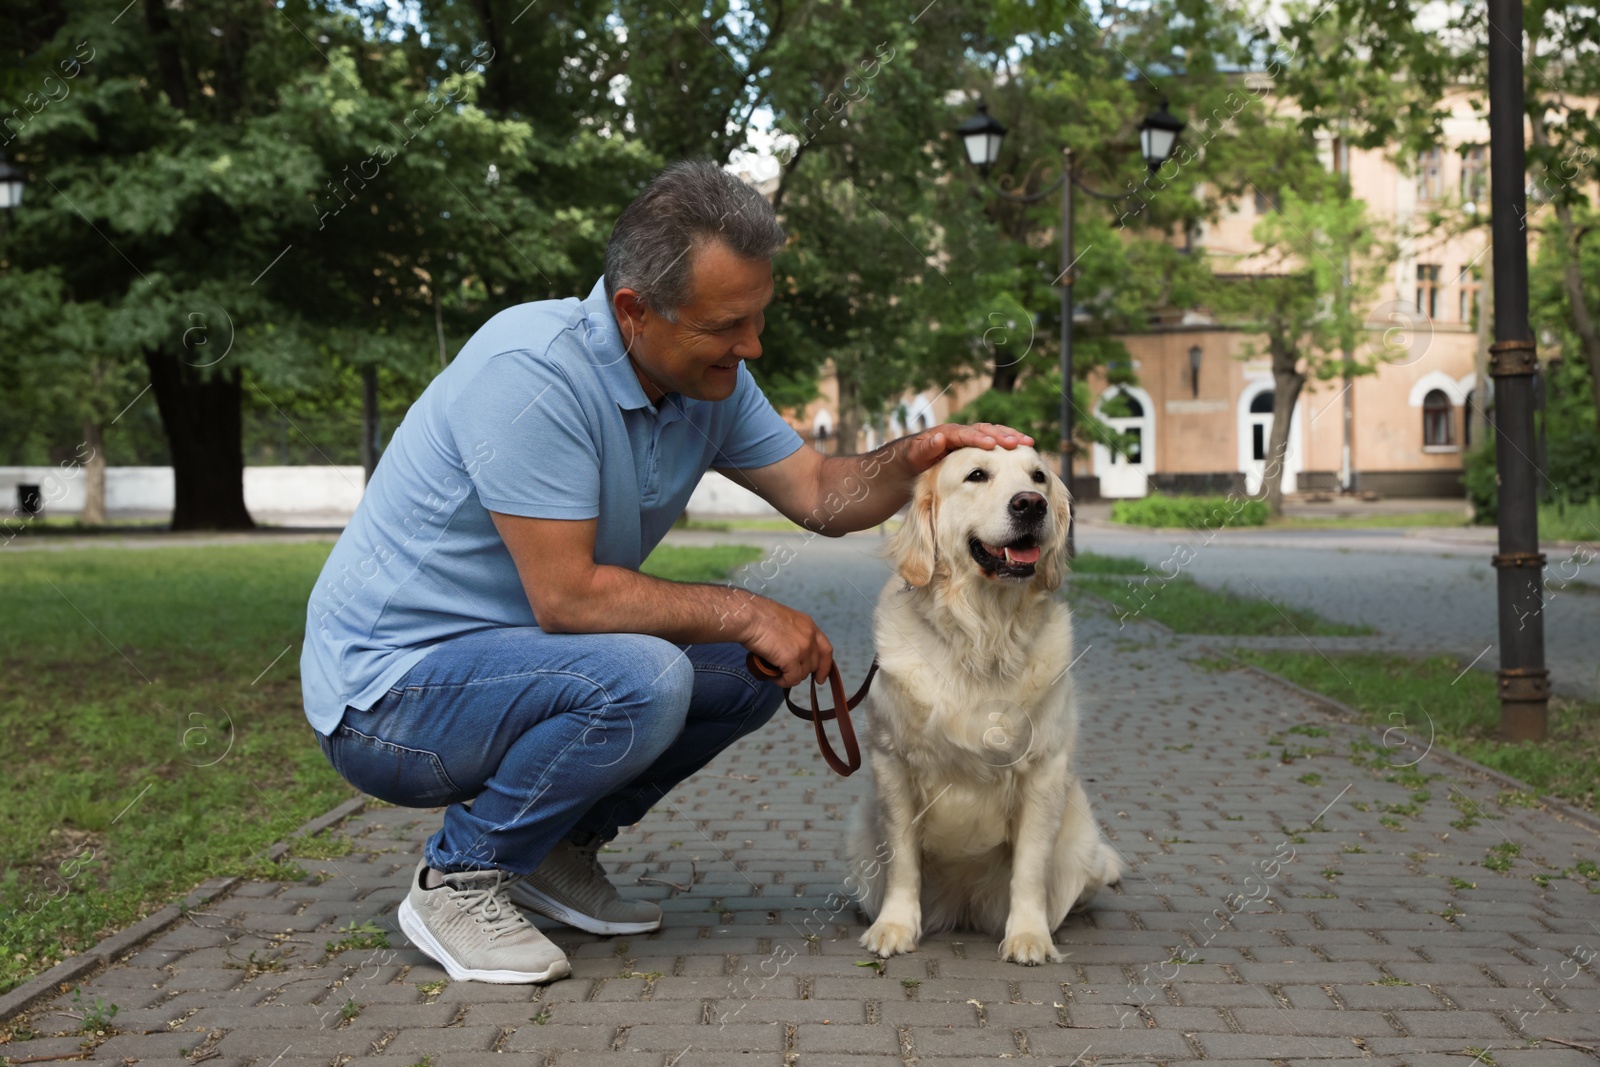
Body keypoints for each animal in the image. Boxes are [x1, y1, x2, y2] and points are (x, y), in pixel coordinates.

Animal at [844, 447, 1120, 966]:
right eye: (976, 475)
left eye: (1039, 477)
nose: (1031, 503)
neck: (984, 635)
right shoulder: (892, 763)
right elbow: (902, 856)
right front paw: (894, 926)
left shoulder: (1045, 770)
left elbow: (1030, 864)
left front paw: (1029, 936)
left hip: (1077, 839)